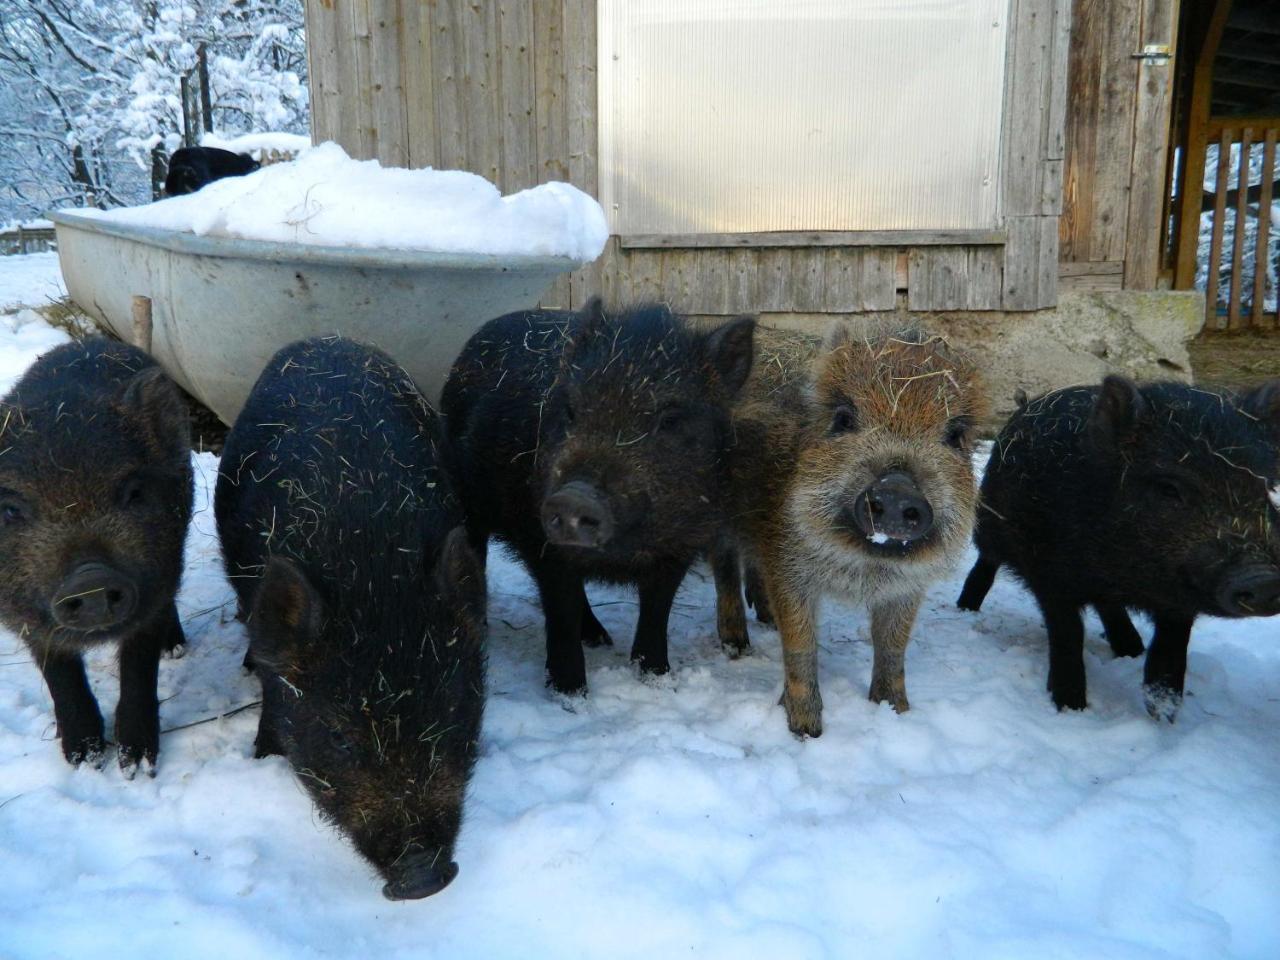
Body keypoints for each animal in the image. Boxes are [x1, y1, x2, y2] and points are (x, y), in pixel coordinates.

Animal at [0, 343, 192, 778]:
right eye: (11, 510)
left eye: (134, 492)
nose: (90, 580)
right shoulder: (23, 615)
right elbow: (59, 675)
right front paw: (84, 761)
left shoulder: (154, 585)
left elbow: (139, 666)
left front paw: (136, 767)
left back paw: (176, 649)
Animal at [215, 337, 483, 901]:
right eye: (339, 737)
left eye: (452, 716)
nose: (424, 877)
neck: (370, 569)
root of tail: (326, 338)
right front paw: (264, 756)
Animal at [445, 299, 752, 691]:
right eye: (571, 410)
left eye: (669, 420)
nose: (574, 497)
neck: (620, 555)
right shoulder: (538, 538)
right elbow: (560, 609)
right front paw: (570, 692)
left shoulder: (683, 543)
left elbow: (657, 611)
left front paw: (657, 678)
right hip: (468, 502)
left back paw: (599, 638)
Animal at [957, 376, 1280, 721]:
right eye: (1168, 488)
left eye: (1266, 487)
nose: (1263, 578)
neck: (1124, 574)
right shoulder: (1051, 574)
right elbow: (1068, 634)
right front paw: (1071, 708)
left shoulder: (1177, 598)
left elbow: (1171, 647)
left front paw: (1163, 714)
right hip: (989, 525)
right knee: (986, 563)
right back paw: (966, 608)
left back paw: (1131, 648)